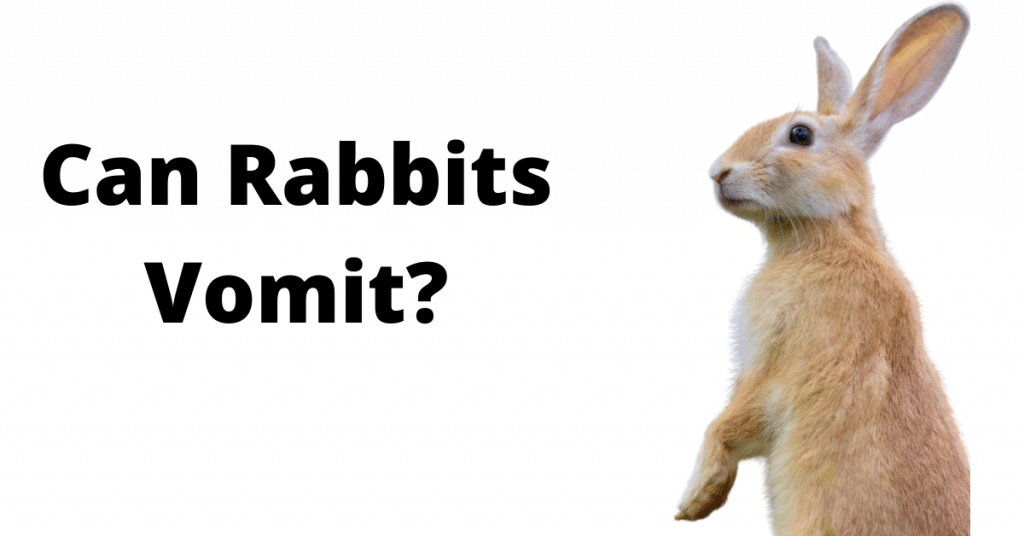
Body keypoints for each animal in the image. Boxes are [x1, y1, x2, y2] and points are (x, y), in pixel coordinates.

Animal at [674, 4, 970, 535]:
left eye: (800, 134)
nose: (717, 171)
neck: (823, 238)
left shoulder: (791, 363)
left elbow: (730, 424)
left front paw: (697, 498)